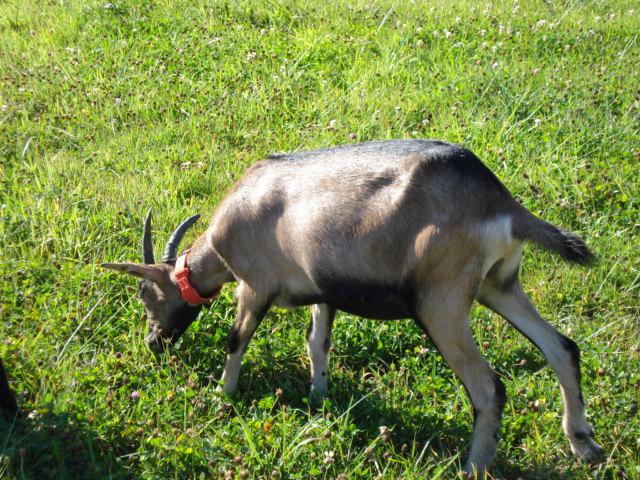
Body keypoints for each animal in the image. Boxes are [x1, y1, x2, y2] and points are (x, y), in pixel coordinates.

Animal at [102, 139, 604, 476]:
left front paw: (222, 397)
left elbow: (236, 339)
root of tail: (503, 204)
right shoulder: (325, 291)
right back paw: (584, 445)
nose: (153, 341)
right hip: (498, 285)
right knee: (562, 347)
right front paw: (318, 397)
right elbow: (317, 342)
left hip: (440, 301)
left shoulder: (254, 286)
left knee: (488, 387)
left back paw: (473, 467)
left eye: (145, 292)